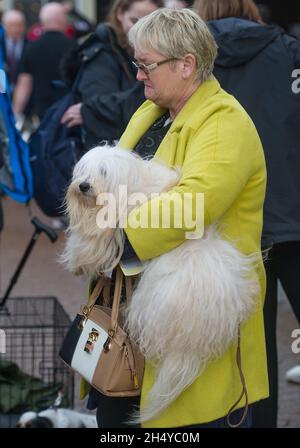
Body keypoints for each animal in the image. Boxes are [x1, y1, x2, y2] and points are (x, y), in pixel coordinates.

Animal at [60, 146, 258, 424]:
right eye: (83, 171)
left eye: (103, 172)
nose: (84, 186)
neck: (129, 183)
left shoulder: (113, 228)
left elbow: (91, 242)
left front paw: (76, 259)